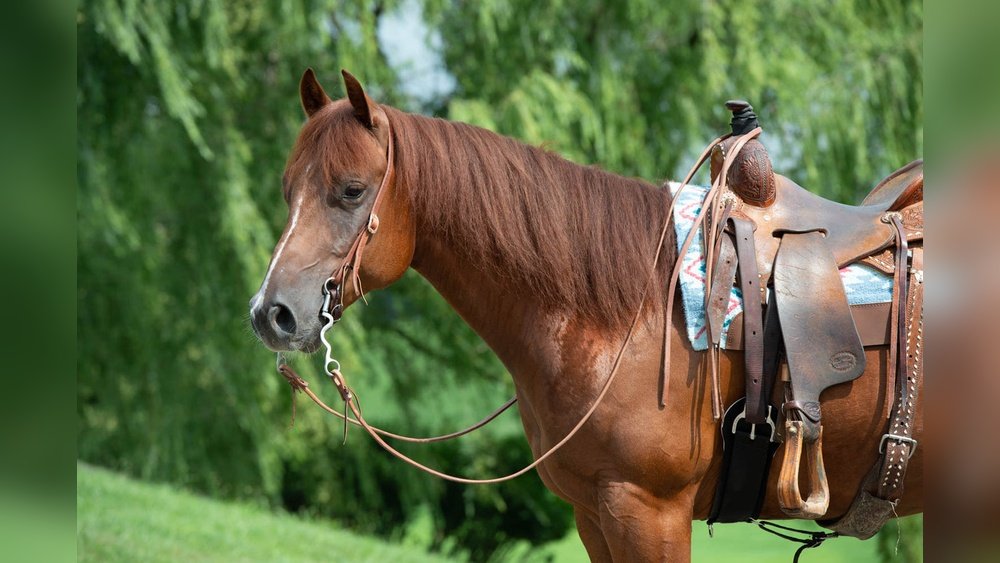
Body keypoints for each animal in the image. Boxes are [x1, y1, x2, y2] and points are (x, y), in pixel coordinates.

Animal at [248, 69, 923, 561]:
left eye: (352, 190)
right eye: (286, 190)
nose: (270, 314)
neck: (628, 315)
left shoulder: (648, 512)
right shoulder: (594, 515)